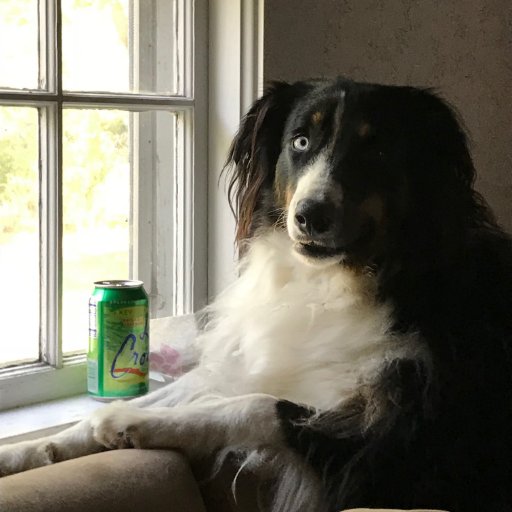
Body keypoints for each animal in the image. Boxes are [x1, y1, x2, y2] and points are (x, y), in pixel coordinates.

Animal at [1, 77, 512, 512]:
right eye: (300, 142)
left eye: (379, 148)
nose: (310, 216)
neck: (334, 280)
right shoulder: (241, 364)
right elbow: (178, 395)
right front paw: (31, 450)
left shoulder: (393, 445)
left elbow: (258, 405)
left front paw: (132, 425)